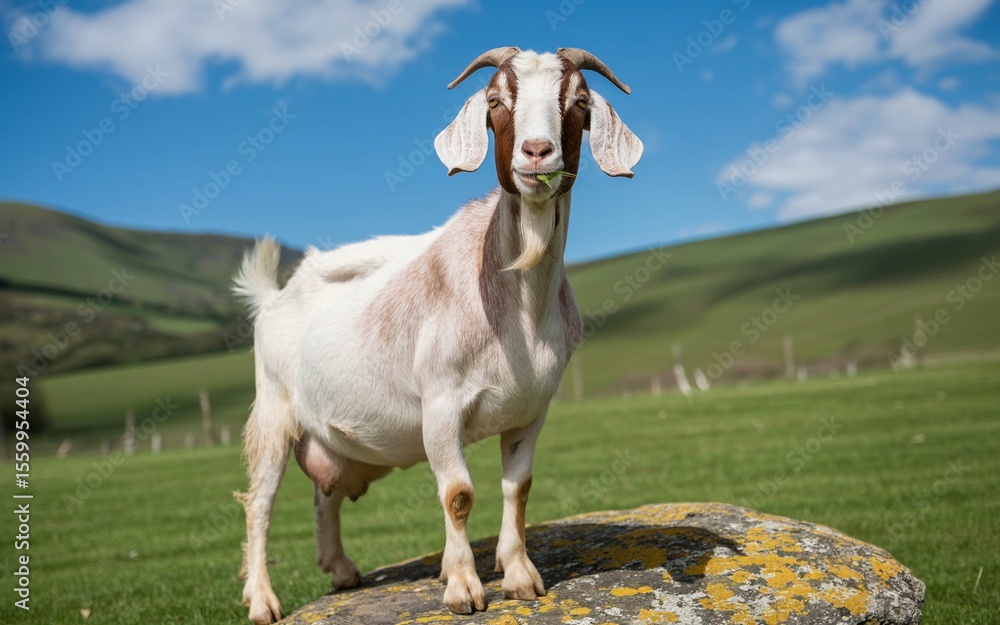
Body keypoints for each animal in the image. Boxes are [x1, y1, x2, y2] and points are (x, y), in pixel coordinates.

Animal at [234, 46, 642, 624]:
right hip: (273, 410)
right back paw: (263, 600)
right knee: (261, 503)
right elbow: (458, 494)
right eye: (495, 100)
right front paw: (464, 589)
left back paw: (341, 570)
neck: (518, 302)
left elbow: (518, 488)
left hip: (338, 436)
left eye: (580, 101)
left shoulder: (532, 408)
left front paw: (519, 576)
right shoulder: (441, 404)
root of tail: (272, 298)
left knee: (325, 493)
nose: (537, 153)